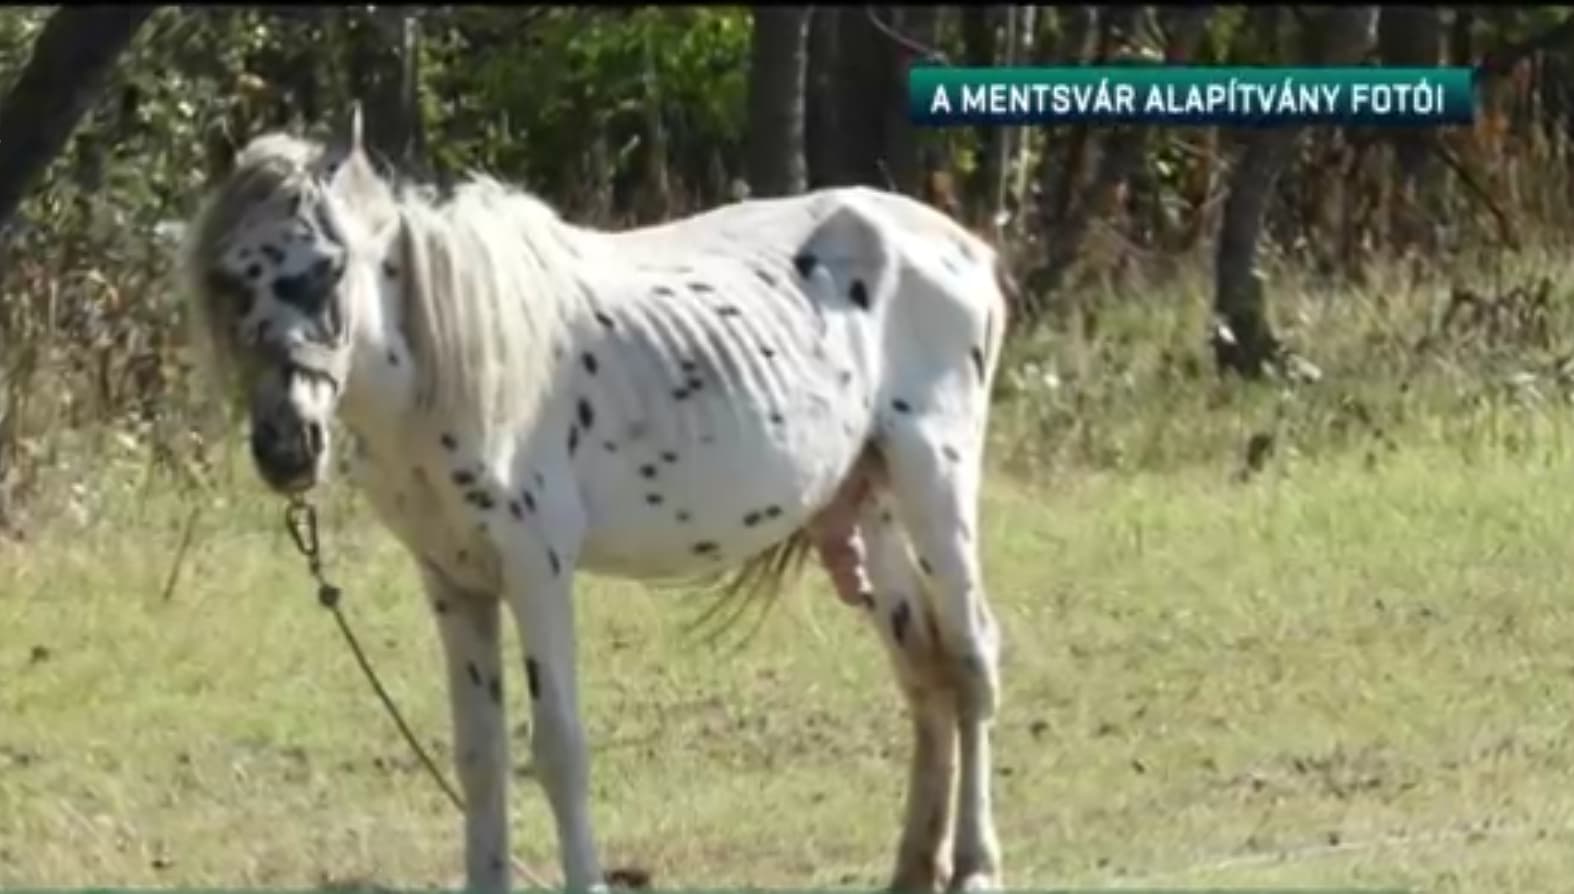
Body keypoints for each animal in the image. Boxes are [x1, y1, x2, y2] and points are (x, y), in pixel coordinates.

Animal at [184, 113, 1013, 894]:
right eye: (226, 280)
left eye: (329, 268)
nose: (288, 447)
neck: (457, 368)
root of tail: (963, 250)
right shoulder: (452, 580)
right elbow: (479, 754)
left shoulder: (536, 569)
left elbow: (558, 747)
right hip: (870, 502)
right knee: (925, 670)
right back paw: (916, 867)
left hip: (935, 485)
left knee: (971, 657)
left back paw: (976, 865)